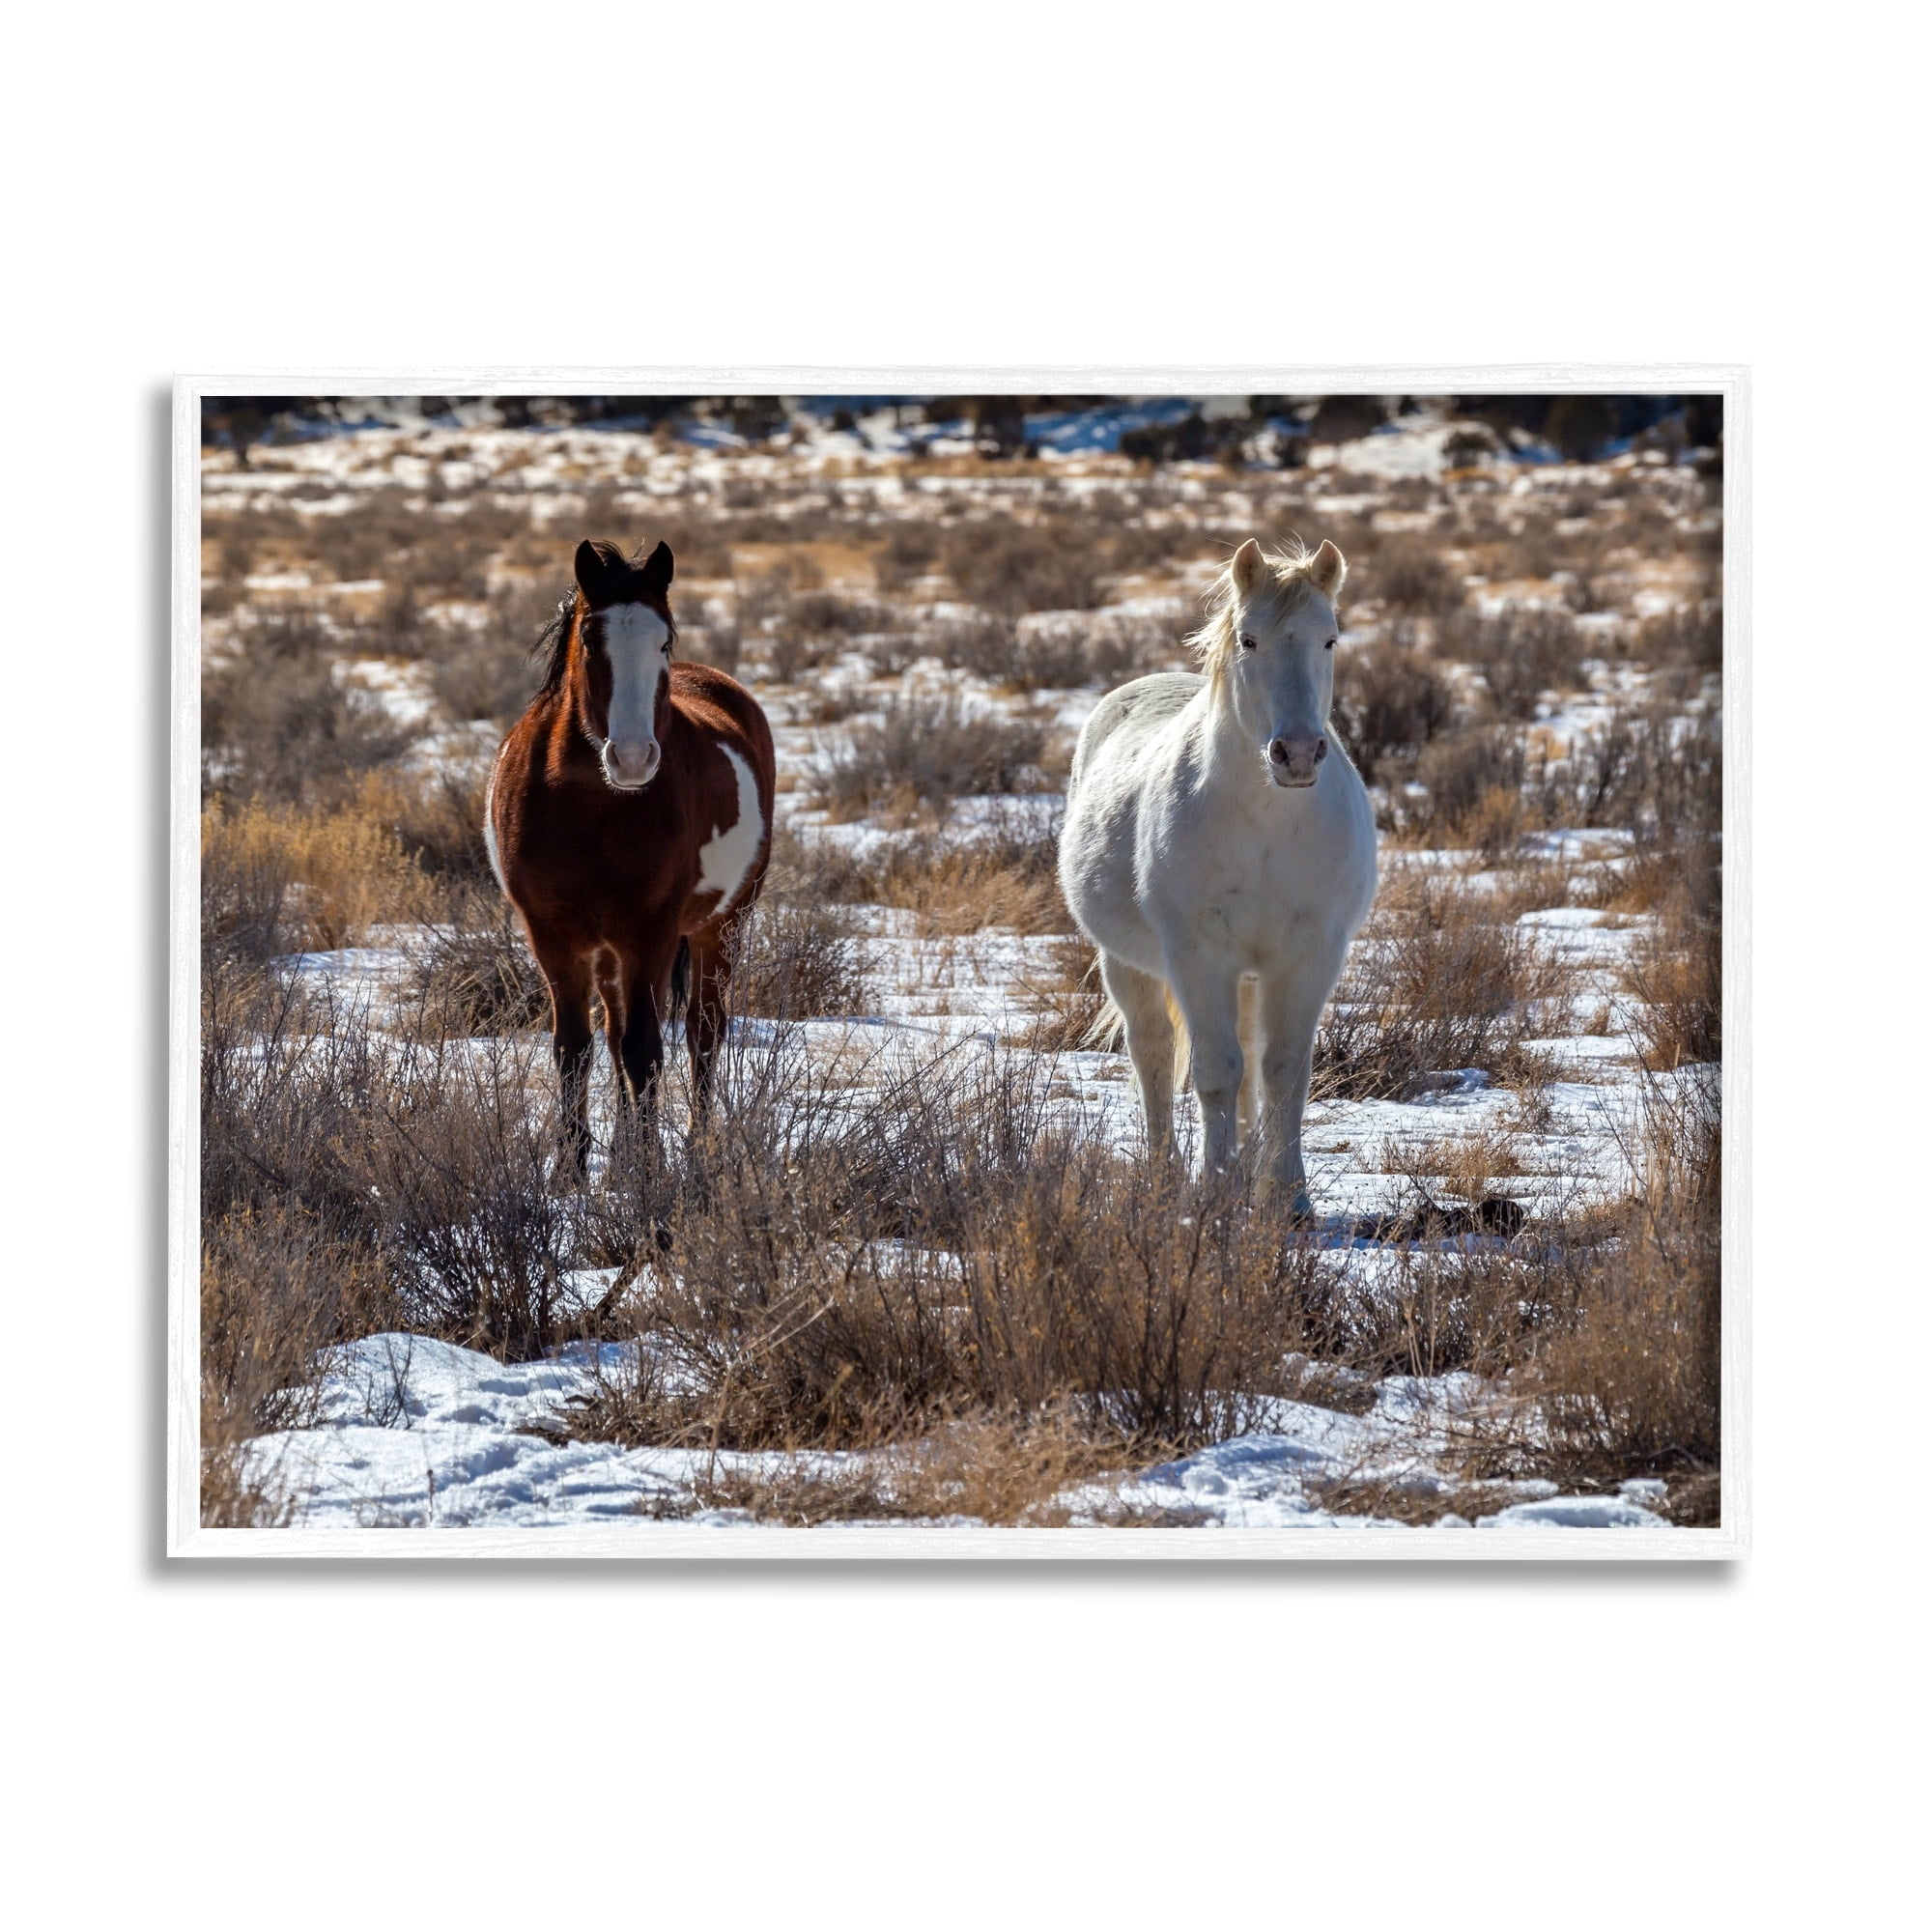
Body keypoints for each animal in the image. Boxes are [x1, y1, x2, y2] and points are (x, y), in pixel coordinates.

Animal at [486, 537, 776, 1174]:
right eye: (590, 639)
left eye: (663, 640)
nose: (634, 757)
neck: (593, 805)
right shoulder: (554, 934)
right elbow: (576, 1047)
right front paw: (571, 1173)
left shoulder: (652, 931)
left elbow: (646, 1048)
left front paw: (649, 1172)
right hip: (608, 949)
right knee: (617, 1030)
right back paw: (621, 1154)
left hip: (723, 924)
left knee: (702, 1032)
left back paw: (693, 1148)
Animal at [1057, 538, 1378, 1217]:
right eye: (1250, 640)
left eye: (1330, 639)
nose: (1298, 753)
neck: (1266, 823)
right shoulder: (1199, 957)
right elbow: (1215, 1071)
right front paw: (1217, 1191)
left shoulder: (1310, 955)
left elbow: (1283, 1070)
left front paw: (1288, 1199)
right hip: (1127, 965)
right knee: (1152, 1053)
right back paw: (1164, 1179)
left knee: (1253, 1062)